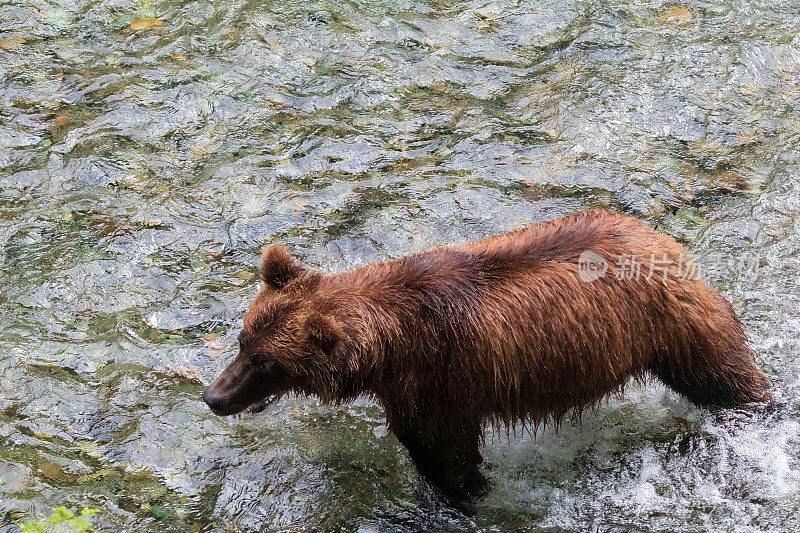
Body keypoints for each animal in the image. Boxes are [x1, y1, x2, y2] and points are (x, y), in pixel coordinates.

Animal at [205, 210, 768, 500]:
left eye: (268, 364)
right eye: (243, 341)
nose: (214, 396)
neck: (390, 348)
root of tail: (658, 235)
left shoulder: (440, 376)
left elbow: (442, 449)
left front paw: (469, 491)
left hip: (670, 323)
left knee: (722, 371)